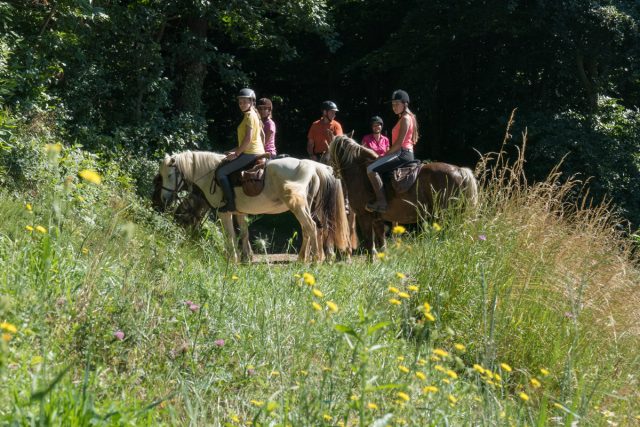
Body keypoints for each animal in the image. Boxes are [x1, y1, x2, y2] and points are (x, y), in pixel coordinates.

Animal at [158, 150, 352, 264]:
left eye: (169, 175)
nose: (163, 199)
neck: (210, 174)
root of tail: (313, 167)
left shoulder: (224, 213)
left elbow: (230, 235)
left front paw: (232, 260)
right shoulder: (239, 211)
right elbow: (244, 232)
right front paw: (247, 258)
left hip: (298, 207)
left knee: (310, 228)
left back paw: (314, 260)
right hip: (309, 207)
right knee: (315, 229)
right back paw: (307, 259)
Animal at [328, 135, 478, 252]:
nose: (330, 170)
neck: (359, 172)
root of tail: (459, 170)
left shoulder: (364, 216)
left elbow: (370, 245)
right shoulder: (377, 219)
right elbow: (381, 245)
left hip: (448, 216)